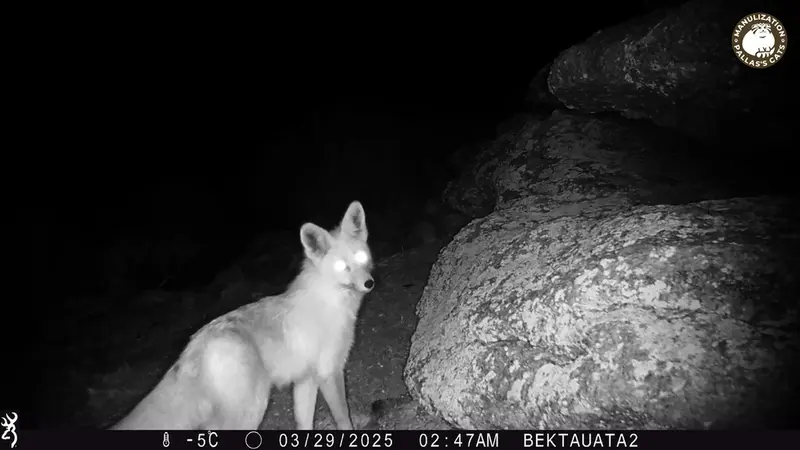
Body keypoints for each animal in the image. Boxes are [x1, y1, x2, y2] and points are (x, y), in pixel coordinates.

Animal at [111, 201, 375, 430]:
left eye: (361, 258)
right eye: (342, 267)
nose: (369, 283)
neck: (330, 300)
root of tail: (192, 346)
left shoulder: (305, 379)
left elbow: (304, 423)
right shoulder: (330, 372)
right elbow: (344, 419)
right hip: (253, 410)